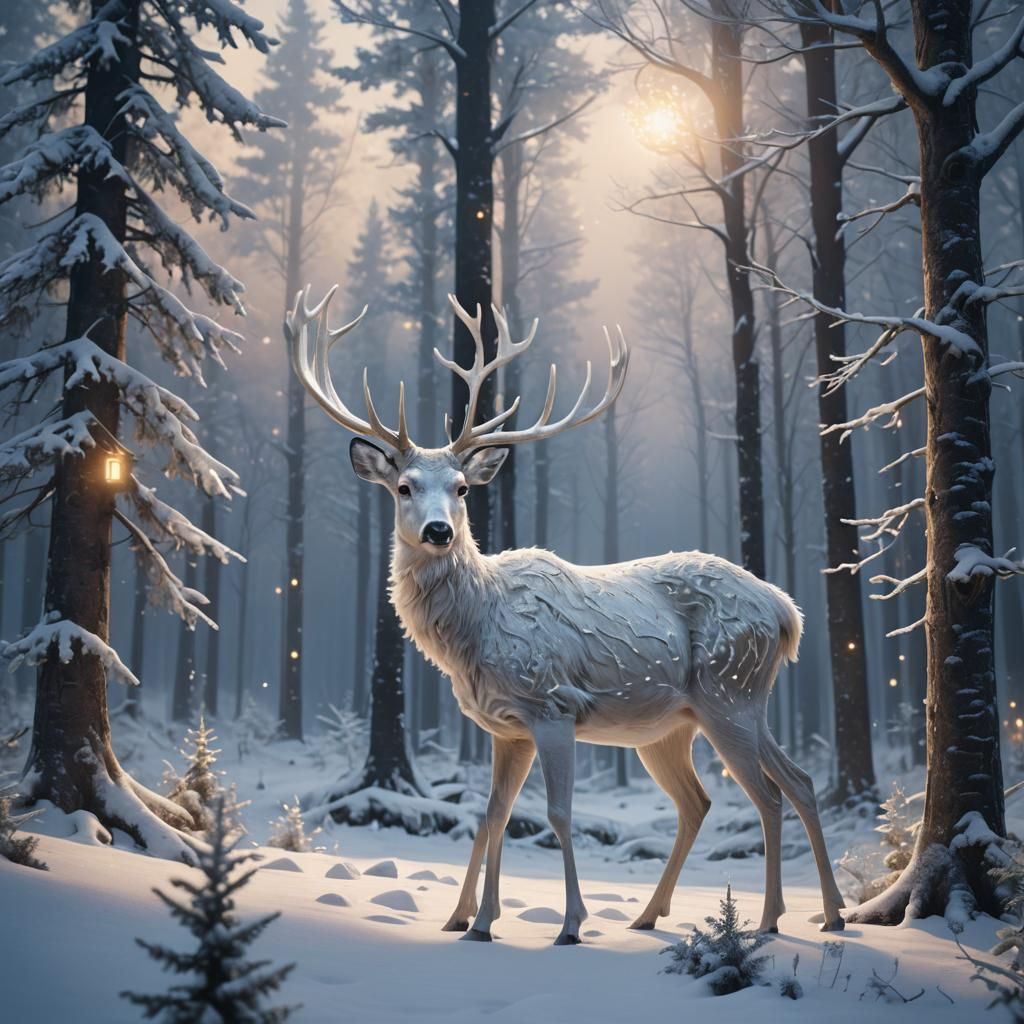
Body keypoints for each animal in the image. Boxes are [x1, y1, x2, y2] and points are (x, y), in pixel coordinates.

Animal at [286, 285, 846, 945]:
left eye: (462, 488)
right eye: (403, 486)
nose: (439, 531)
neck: (475, 632)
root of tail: (788, 613)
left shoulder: (552, 705)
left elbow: (557, 813)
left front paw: (570, 923)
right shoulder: (504, 726)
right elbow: (493, 814)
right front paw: (470, 920)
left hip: (728, 693)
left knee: (766, 795)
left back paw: (768, 920)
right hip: (690, 719)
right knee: (756, 789)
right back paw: (784, 911)